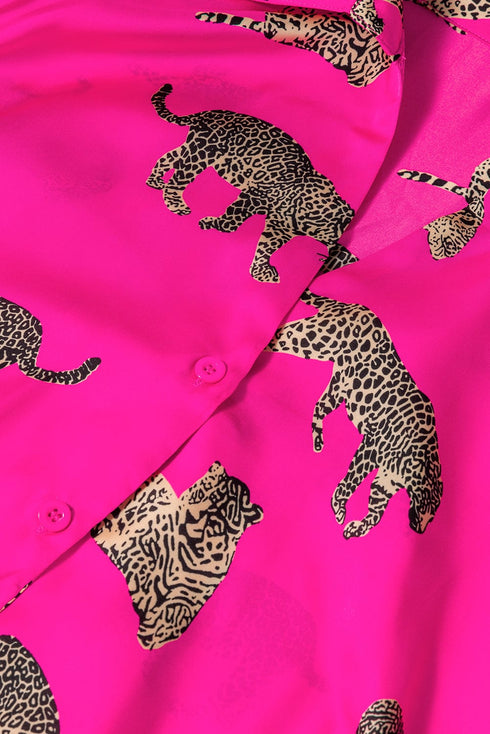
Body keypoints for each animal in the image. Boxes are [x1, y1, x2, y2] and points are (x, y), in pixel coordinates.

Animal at [91, 461, 263, 649]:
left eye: (217, 519)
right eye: (198, 496)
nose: (194, 520)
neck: (192, 552)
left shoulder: (192, 595)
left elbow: (177, 611)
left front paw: (153, 631)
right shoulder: (144, 540)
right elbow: (142, 556)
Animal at [146, 83, 356, 283]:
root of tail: (207, 114)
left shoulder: (280, 228)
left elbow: (266, 246)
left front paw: (261, 271)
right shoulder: (255, 195)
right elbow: (233, 218)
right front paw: (214, 224)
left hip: (193, 148)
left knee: (169, 158)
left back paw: (155, 181)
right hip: (203, 153)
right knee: (180, 177)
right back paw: (176, 205)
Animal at [266, 289, 443, 539]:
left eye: (435, 515)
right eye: (430, 506)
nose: (420, 531)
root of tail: (354, 306)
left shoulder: (384, 482)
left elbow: (376, 513)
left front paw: (355, 526)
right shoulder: (370, 447)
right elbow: (352, 478)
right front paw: (339, 506)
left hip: (338, 385)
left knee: (319, 407)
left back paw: (318, 441)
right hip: (313, 339)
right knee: (283, 333)